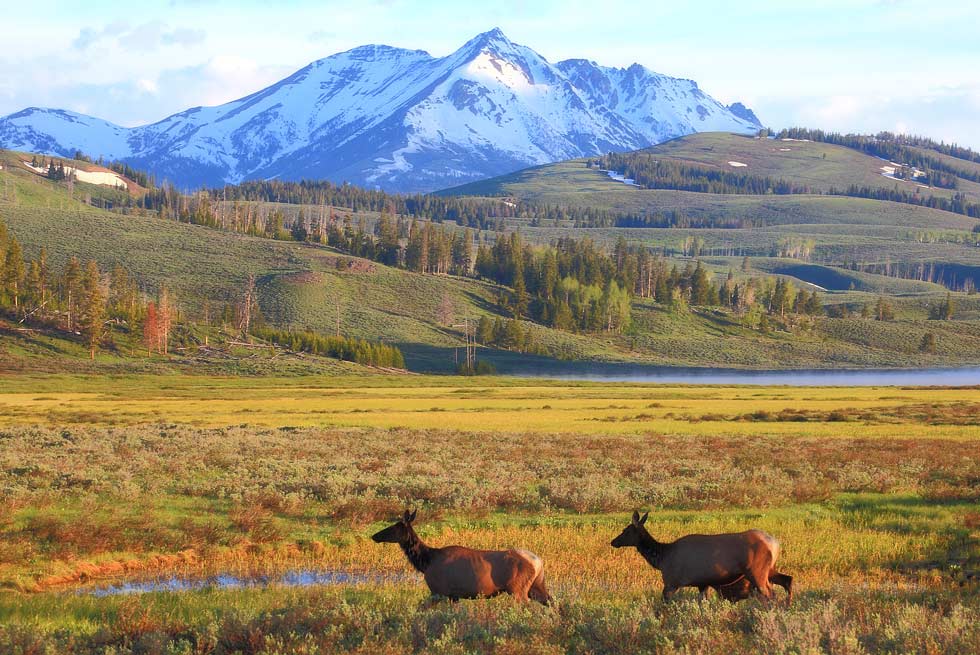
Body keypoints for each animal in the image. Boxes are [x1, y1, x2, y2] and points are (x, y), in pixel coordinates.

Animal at [371, 509, 552, 606]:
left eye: (395, 527)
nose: (374, 536)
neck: (426, 562)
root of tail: (538, 561)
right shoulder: (454, 596)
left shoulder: (439, 591)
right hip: (536, 585)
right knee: (552, 602)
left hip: (518, 589)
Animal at [611, 511, 792, 604]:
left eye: (626, 530)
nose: (613, 541)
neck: (662, 558)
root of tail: (774, 543)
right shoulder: (702, 583)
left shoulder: (671, 581)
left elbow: (664, 603)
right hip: (769, 569)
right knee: (787, 580)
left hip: (757, 570)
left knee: (770, 594)